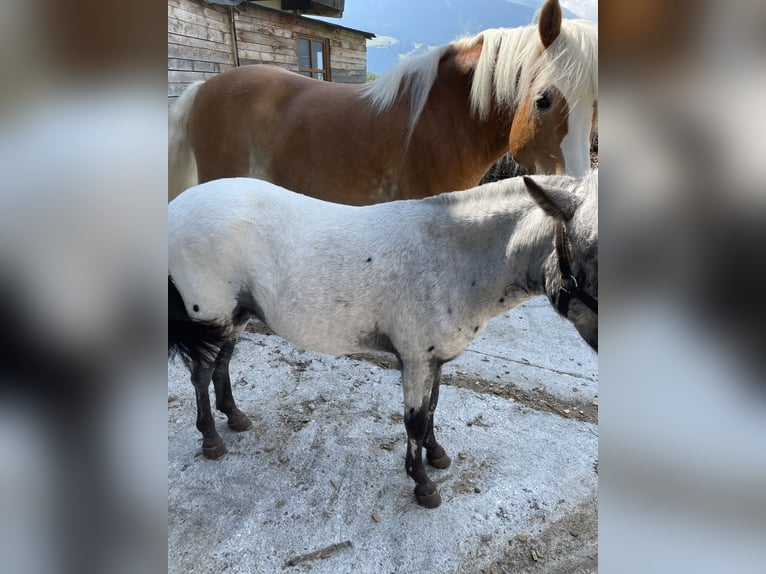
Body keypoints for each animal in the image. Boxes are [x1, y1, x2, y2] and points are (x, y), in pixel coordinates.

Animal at [168, 169, 598, 508]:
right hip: (210, 314)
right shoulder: (416, 359)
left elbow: (433, 409)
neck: (451, 259)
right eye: (591, 250)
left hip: (234, 316)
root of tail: (176, 207)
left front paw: (437, 454)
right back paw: (211, 440)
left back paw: (236, 417)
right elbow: (415, 421)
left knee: (221, 364)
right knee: (201, 374)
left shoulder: (433, 360)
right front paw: (423, 484)